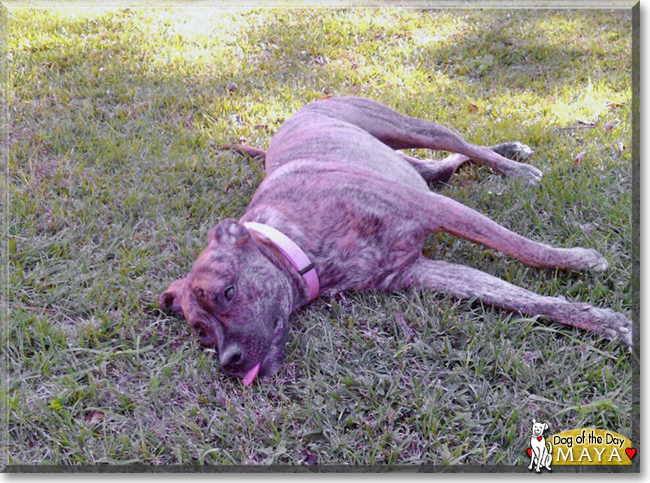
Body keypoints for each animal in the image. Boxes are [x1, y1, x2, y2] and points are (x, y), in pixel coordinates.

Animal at [159, 96, 632, 388]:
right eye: (201, 332)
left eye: (229, 292)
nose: (228, 363)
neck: (297, 243)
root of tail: (303, 108)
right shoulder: (419, 272)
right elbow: (518, 298)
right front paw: (604, 322)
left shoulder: (435, 211)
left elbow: (524, 249)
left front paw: (578, 260)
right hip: (407, 159)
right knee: (443, 167)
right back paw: (506, 153)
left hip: (410, 128)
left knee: (464, 146)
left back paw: (512, 164)